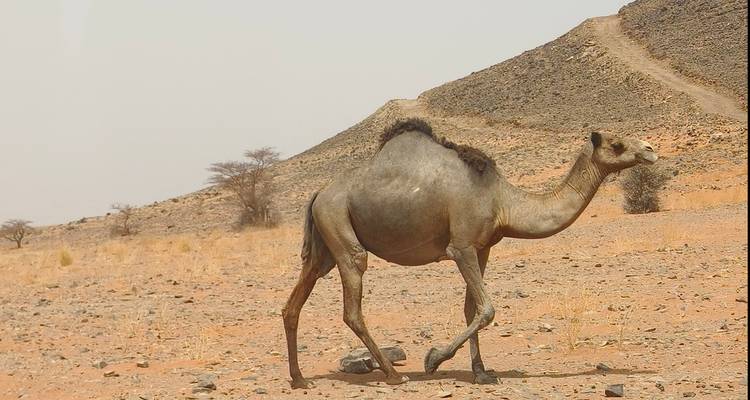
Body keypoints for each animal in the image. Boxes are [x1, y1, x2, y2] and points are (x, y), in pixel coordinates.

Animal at [282, 118, 658, 388]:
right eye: (617, 144)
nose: (651, 150)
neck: (502, 201)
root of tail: (318, 193)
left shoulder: (482, 248)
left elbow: (471, 310)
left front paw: (481, 373)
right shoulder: (460, 246)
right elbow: (487, 309)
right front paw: (433, 359)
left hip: (323, 246)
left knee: (293, 303)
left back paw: (300, 380)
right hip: (340, 229)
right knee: (352, 306)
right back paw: (393, 374)